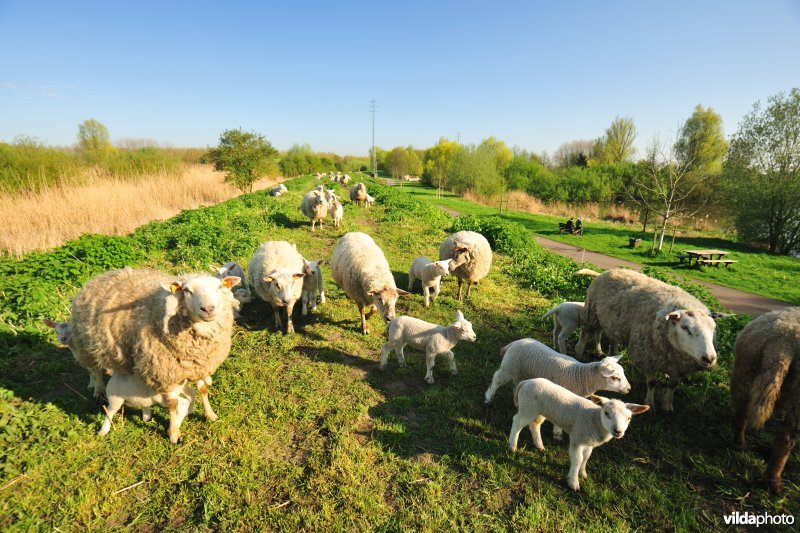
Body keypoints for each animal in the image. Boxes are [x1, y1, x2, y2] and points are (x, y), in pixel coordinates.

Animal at [70, 268, 239, 442]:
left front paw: (210, 414)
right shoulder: (164, 374)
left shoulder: (197, 364)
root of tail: (102, 276)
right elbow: (173, 404)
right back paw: (98, 390)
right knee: (95, 369)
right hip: (87, 346)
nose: (208, 309)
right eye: (186, 290)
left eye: (219, 287)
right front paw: (173, 434)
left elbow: (203, 389)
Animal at [482, 338, 632, 438]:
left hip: (520, 370)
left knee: (516, 383)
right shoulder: (562, 395)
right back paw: (488, 398)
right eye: (615, 378)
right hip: (509, 365)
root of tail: (516, 342)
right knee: (497, 379)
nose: (629, 389)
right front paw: (558, 433)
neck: (580, 377)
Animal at [510, 378, 652, 490]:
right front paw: (573, 482)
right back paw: (512, 446)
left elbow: (586, 458)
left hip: (538, 410)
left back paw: (539, 446)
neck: (594, 419)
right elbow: (578, 460)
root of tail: (526, 382)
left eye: (629, 418)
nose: (618, 431)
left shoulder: (588, 441)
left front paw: (583, 474)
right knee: (517, 422)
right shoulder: (577, 438)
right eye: (607, 413)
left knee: (534, 425)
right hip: (528, 407)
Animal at [576, 270, 724, 412]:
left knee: (606, 336)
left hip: (612, 321)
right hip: (591, 312)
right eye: (685, 327)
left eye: (713, 328)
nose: (709, 359)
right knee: (586, 334)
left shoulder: (678, 366)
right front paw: (650, 404)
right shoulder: (647, 358)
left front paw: (667, 405)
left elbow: (673, 385)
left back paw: (604, 352)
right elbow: (652, 383)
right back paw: (580, 353)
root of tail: (606, 271)